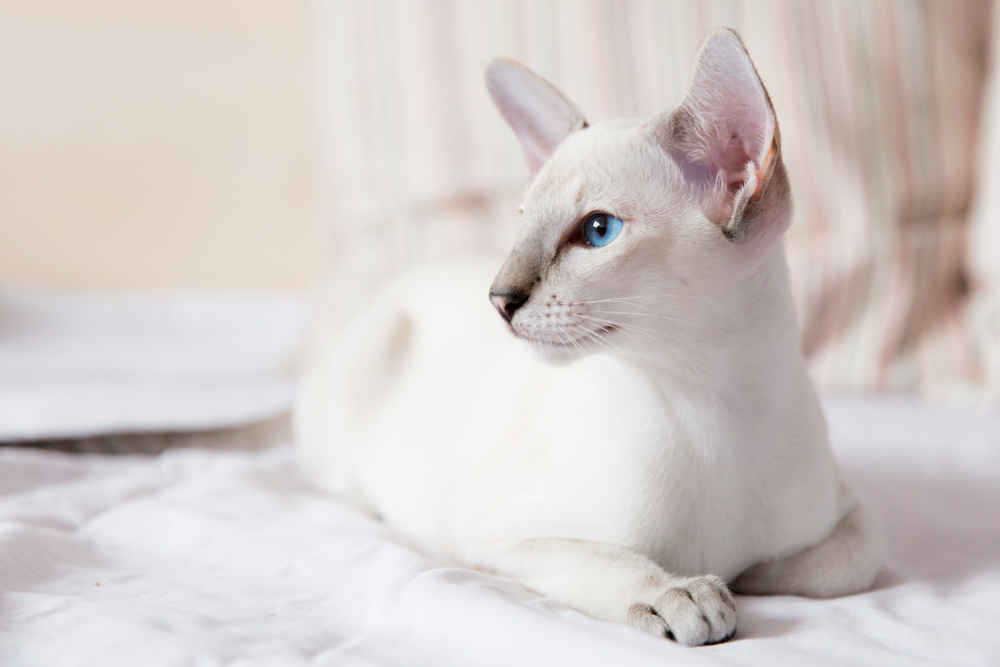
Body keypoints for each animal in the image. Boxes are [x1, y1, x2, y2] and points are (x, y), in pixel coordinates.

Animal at [294, 31, 884, 648]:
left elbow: (847, 558)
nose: (499, 299)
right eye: (522, 223)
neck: (712, 410)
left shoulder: (848, 513)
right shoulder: (494, 536)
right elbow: (608, 560)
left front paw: (748, 575)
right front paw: (686, 593)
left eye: (598, 231)